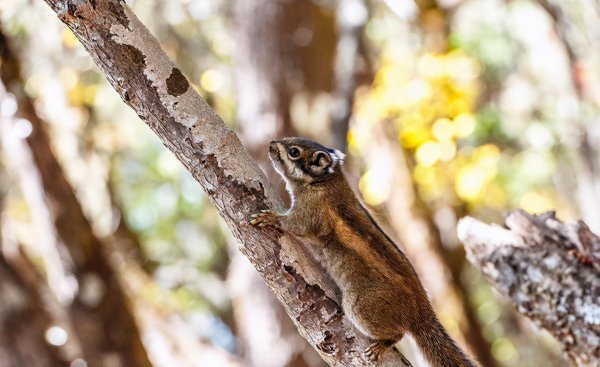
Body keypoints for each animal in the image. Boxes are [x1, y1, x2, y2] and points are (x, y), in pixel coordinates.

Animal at [248, 137, 478, 366]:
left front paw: (270, 217)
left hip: (360, 305)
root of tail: (422, 312)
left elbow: (296, 225)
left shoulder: (311, 212)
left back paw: (382, 344)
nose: (271, 144)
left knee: (398, 333)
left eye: (294, 151)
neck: (326, 182)